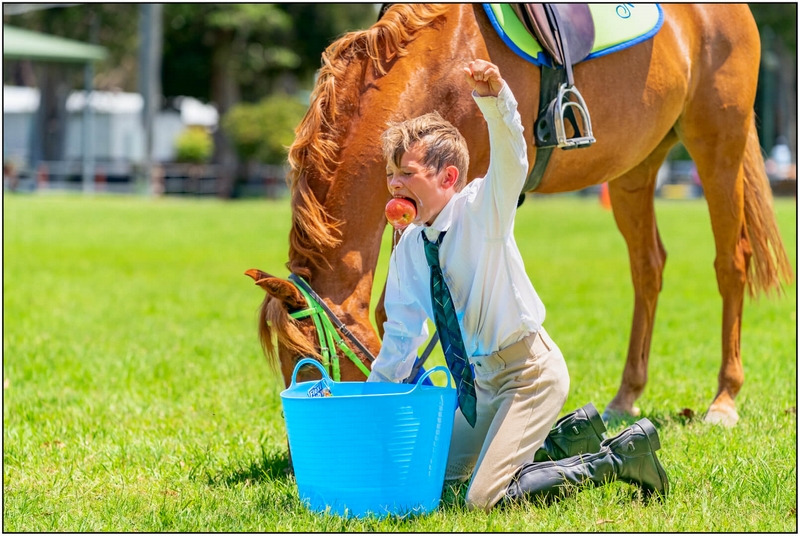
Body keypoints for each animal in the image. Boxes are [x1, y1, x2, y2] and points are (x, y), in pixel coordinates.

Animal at [245, 2, 792, 426]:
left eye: (313, 359)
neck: (439, 60)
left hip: (718, 142)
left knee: (731, 262)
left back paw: (724, 399)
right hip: (636, 167)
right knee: (647, 268)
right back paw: (626, 397)